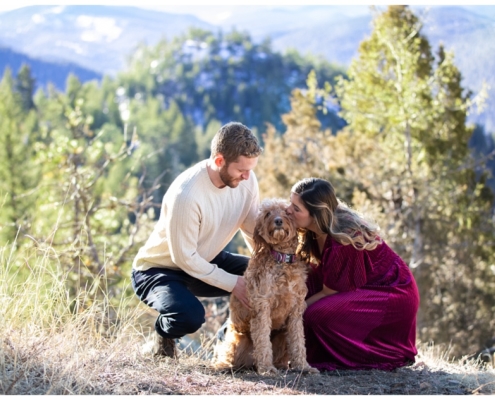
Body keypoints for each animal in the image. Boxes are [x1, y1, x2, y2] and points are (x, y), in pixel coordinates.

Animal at [212, 198, 318, 376]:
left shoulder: (295, 311)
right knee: (227, 355)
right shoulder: (262, 308)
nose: (278, 221)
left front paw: (303, 366)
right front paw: (267, 369)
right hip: (236, 341)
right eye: (268, 213)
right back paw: (223, 365)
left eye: (286, 212)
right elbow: (262, 341)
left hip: (281, 336)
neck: (282, 259)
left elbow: (298, 341)